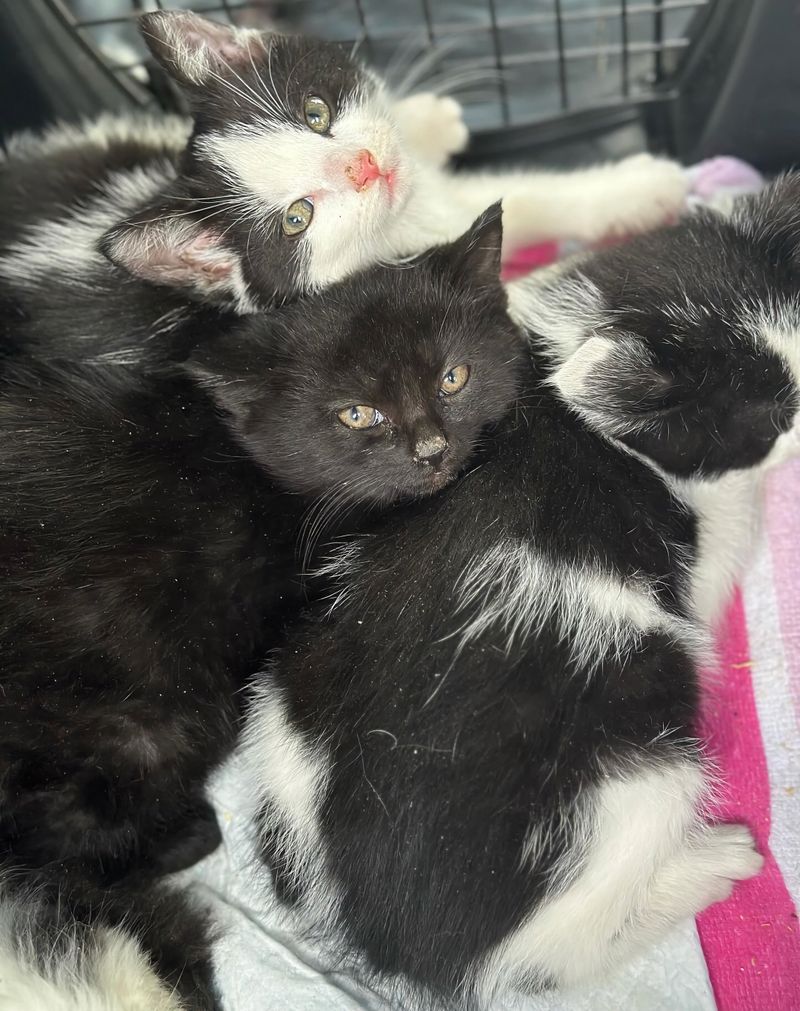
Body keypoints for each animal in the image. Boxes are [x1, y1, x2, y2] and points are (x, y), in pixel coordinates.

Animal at [228, 186, 800, 1006]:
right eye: (774, 414)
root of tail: (400, 945)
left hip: (286, 694)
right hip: (637, 751)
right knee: (555, 953)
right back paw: (717, 862)